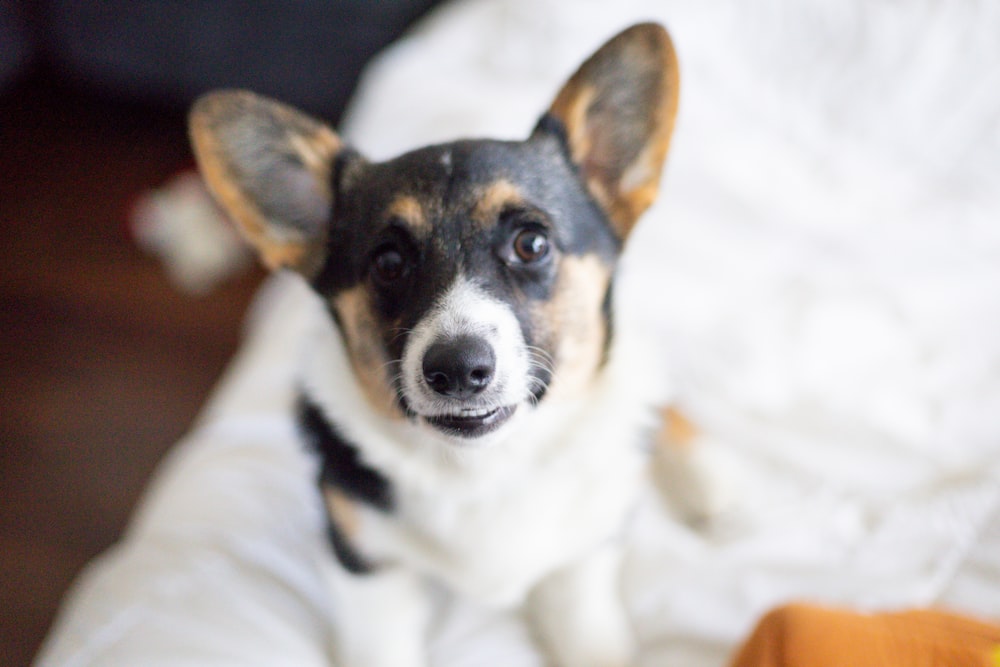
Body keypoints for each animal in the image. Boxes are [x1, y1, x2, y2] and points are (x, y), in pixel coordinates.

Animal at [189, 22, 696, 667]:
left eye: (532, 243)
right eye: (387, 262)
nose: (457, 369)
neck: (483, 469)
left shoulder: (583, 561)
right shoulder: (367, 567)